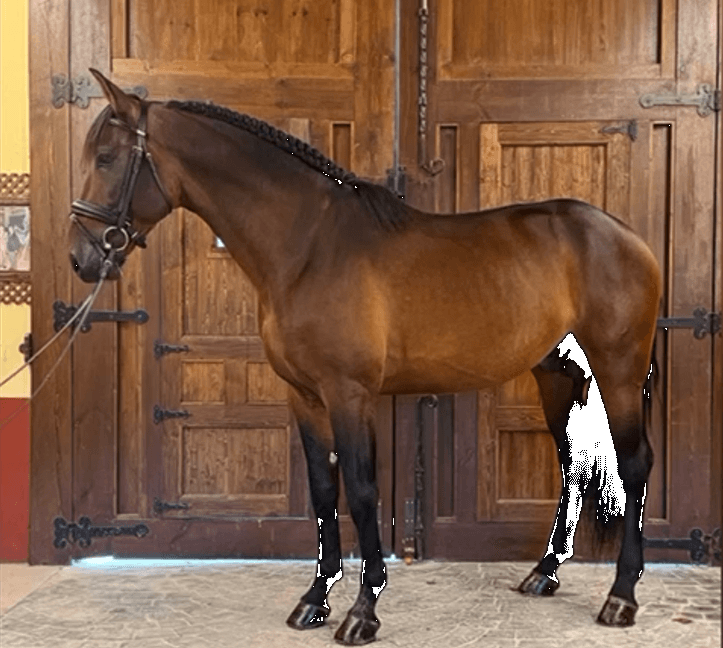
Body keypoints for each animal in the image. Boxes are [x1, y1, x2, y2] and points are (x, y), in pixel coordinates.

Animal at [68, 69, 661, 645]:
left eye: (107, 158)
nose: (81, 257)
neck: (308, 247)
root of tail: (624, 235)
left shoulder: (349, 393)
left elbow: (361, 490)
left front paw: (363, 609)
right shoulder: (305, 397)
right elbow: (323, 492)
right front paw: (315, 599)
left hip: (618, 371)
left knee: (634, 464)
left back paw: (622, 596)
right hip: (556, 374)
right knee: (574, 462)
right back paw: (544, 573)